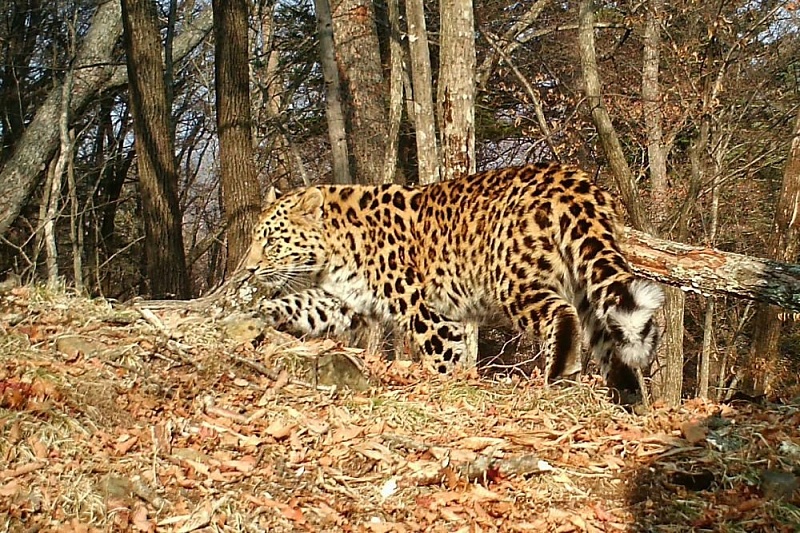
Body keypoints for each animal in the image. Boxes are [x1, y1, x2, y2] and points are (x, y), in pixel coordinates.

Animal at [244, 162, 664, 390]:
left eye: (271, 241)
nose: (248, 268)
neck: (334, 253)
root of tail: (574, 181)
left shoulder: (426, 312)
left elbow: (441, 358)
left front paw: (445, 385)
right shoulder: (345, 301)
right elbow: (302, 305)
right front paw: (258, 313)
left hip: (512, 278)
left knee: (561, 314)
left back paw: (560, 371)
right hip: (585, 276)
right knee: (609, 332)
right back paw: (628, 397)